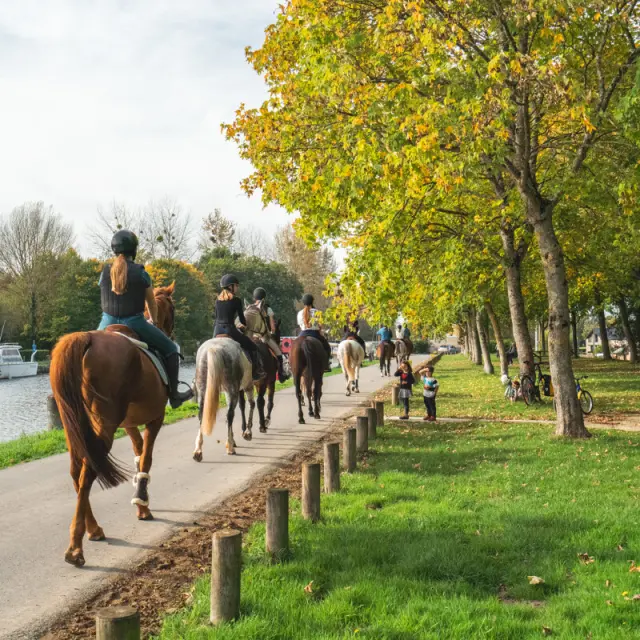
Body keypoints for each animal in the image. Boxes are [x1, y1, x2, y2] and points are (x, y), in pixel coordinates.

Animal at [49, 284, 178, 567]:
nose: (170, 330)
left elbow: (139, 453)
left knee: (78, 470)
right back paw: (75, 547)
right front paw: (142, 501)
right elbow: (146, 458)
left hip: (73, 425)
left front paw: (142, 502)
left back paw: (93, 529)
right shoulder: (155, 419)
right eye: (172, 309)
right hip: (103, 424)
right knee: (88, 472)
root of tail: (86, 338)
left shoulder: (129, 424)